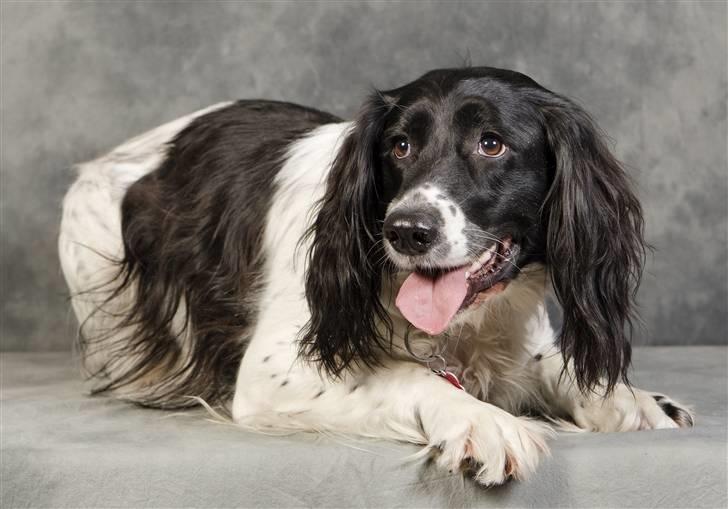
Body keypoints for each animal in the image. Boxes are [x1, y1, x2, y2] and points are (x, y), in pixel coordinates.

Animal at [59, 67, 692, 484]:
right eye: (400, 145)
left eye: (491, 144)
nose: (407, 230)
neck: (463, 330)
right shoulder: (274, 374)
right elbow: (412, 378)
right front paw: (482, 420)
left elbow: (557, 367)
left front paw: (635, 401)